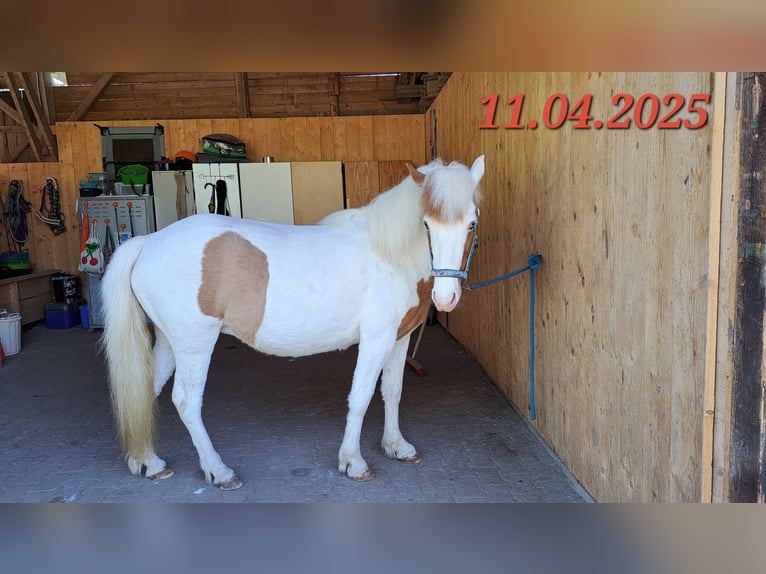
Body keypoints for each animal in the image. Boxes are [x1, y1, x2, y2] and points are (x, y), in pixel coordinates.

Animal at [100, 155, 485, 490]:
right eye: (426, 224)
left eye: (472, 223)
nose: (446, 297)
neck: (388, 253)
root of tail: (148, 242)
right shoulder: (376, 339)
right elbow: (361, 397)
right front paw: (353, 461)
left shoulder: (400, 338)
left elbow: (392, 392)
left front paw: (396, 446)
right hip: (194, 344)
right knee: (185, 401)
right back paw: (218, 470)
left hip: (170, 342)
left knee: (146, 389)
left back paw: (148, 462)